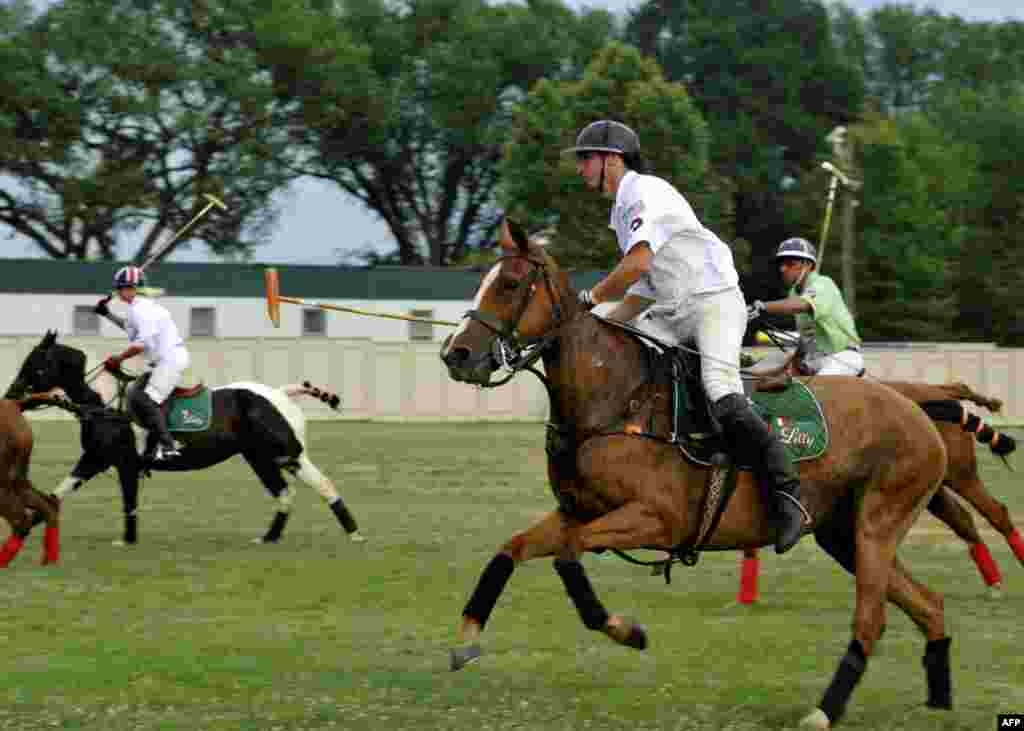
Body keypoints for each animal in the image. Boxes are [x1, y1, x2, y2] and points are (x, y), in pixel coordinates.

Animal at [3, 329, 364, 548]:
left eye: (35, 364)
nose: (11, 395)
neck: (103, 401)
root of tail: (279, 393)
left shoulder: (125, 463)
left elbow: (129, 502)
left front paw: (128, 539)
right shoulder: (94, 459)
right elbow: (54, 495)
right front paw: (26, 525)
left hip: (288, 454)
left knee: (323, 485)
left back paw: (354, 533)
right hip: (259, 458)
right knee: (285, 494)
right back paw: (270, 537)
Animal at [440, 219, 950, 724]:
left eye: (509, 284)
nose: (456, 354)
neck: (614, 401)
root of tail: (916, 410)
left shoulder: (656, 519)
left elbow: (568, 557)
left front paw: (627, 630)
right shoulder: (577, 511)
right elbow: (509, 551)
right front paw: (466, 641)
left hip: (876, 525)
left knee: (872, 618)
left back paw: (825, 711)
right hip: (842, 534)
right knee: (928, 603)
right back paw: (940, 694)